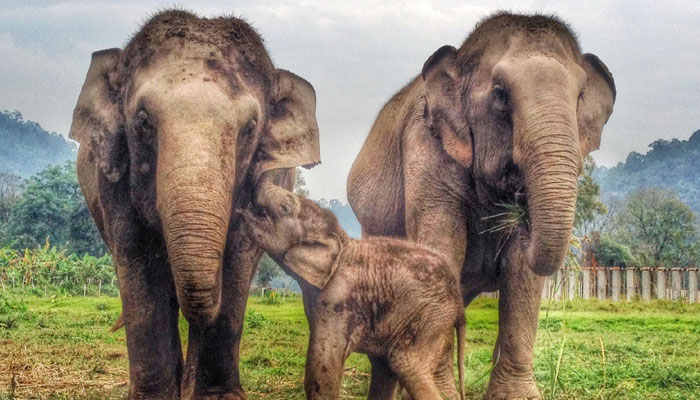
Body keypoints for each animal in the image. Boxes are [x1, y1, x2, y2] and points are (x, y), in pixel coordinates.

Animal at [71, 10, 320, 400]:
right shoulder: (111, 177)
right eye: (142, 121)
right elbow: (138, 262)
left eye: (250, 127)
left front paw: (215, 396)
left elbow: (237, 259)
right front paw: (155, 397)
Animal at [241, 188, 464, 400]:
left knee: (406, 365)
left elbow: (323, 370)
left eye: (284, 208)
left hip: (429, 317)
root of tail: (459, 299)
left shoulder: (337, 300)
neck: (343, 241)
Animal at [348, 12, 616, 400]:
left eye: (580, 96)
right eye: (500, 95)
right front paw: (443, 393)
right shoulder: (425, 149)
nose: (519, 206)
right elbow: (442, 248)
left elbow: (521, 270)